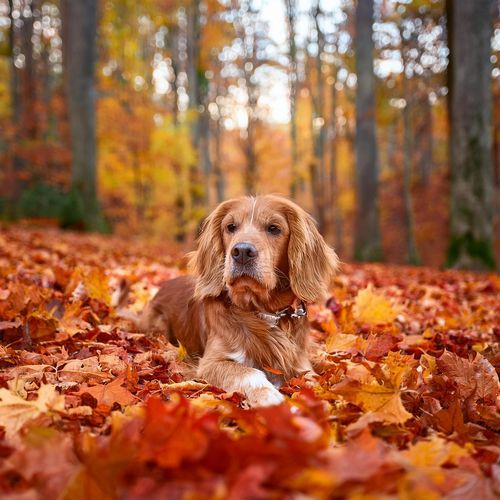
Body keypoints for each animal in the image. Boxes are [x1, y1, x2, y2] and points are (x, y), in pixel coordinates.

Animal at [120, 195, 338, 406]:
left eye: (274, 228)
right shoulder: (211, 362)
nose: (242, 252)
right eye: (231, 227)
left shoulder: (301, 364)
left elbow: (313, 380)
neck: (264, 313)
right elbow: (249, 371)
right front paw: (270, 397)